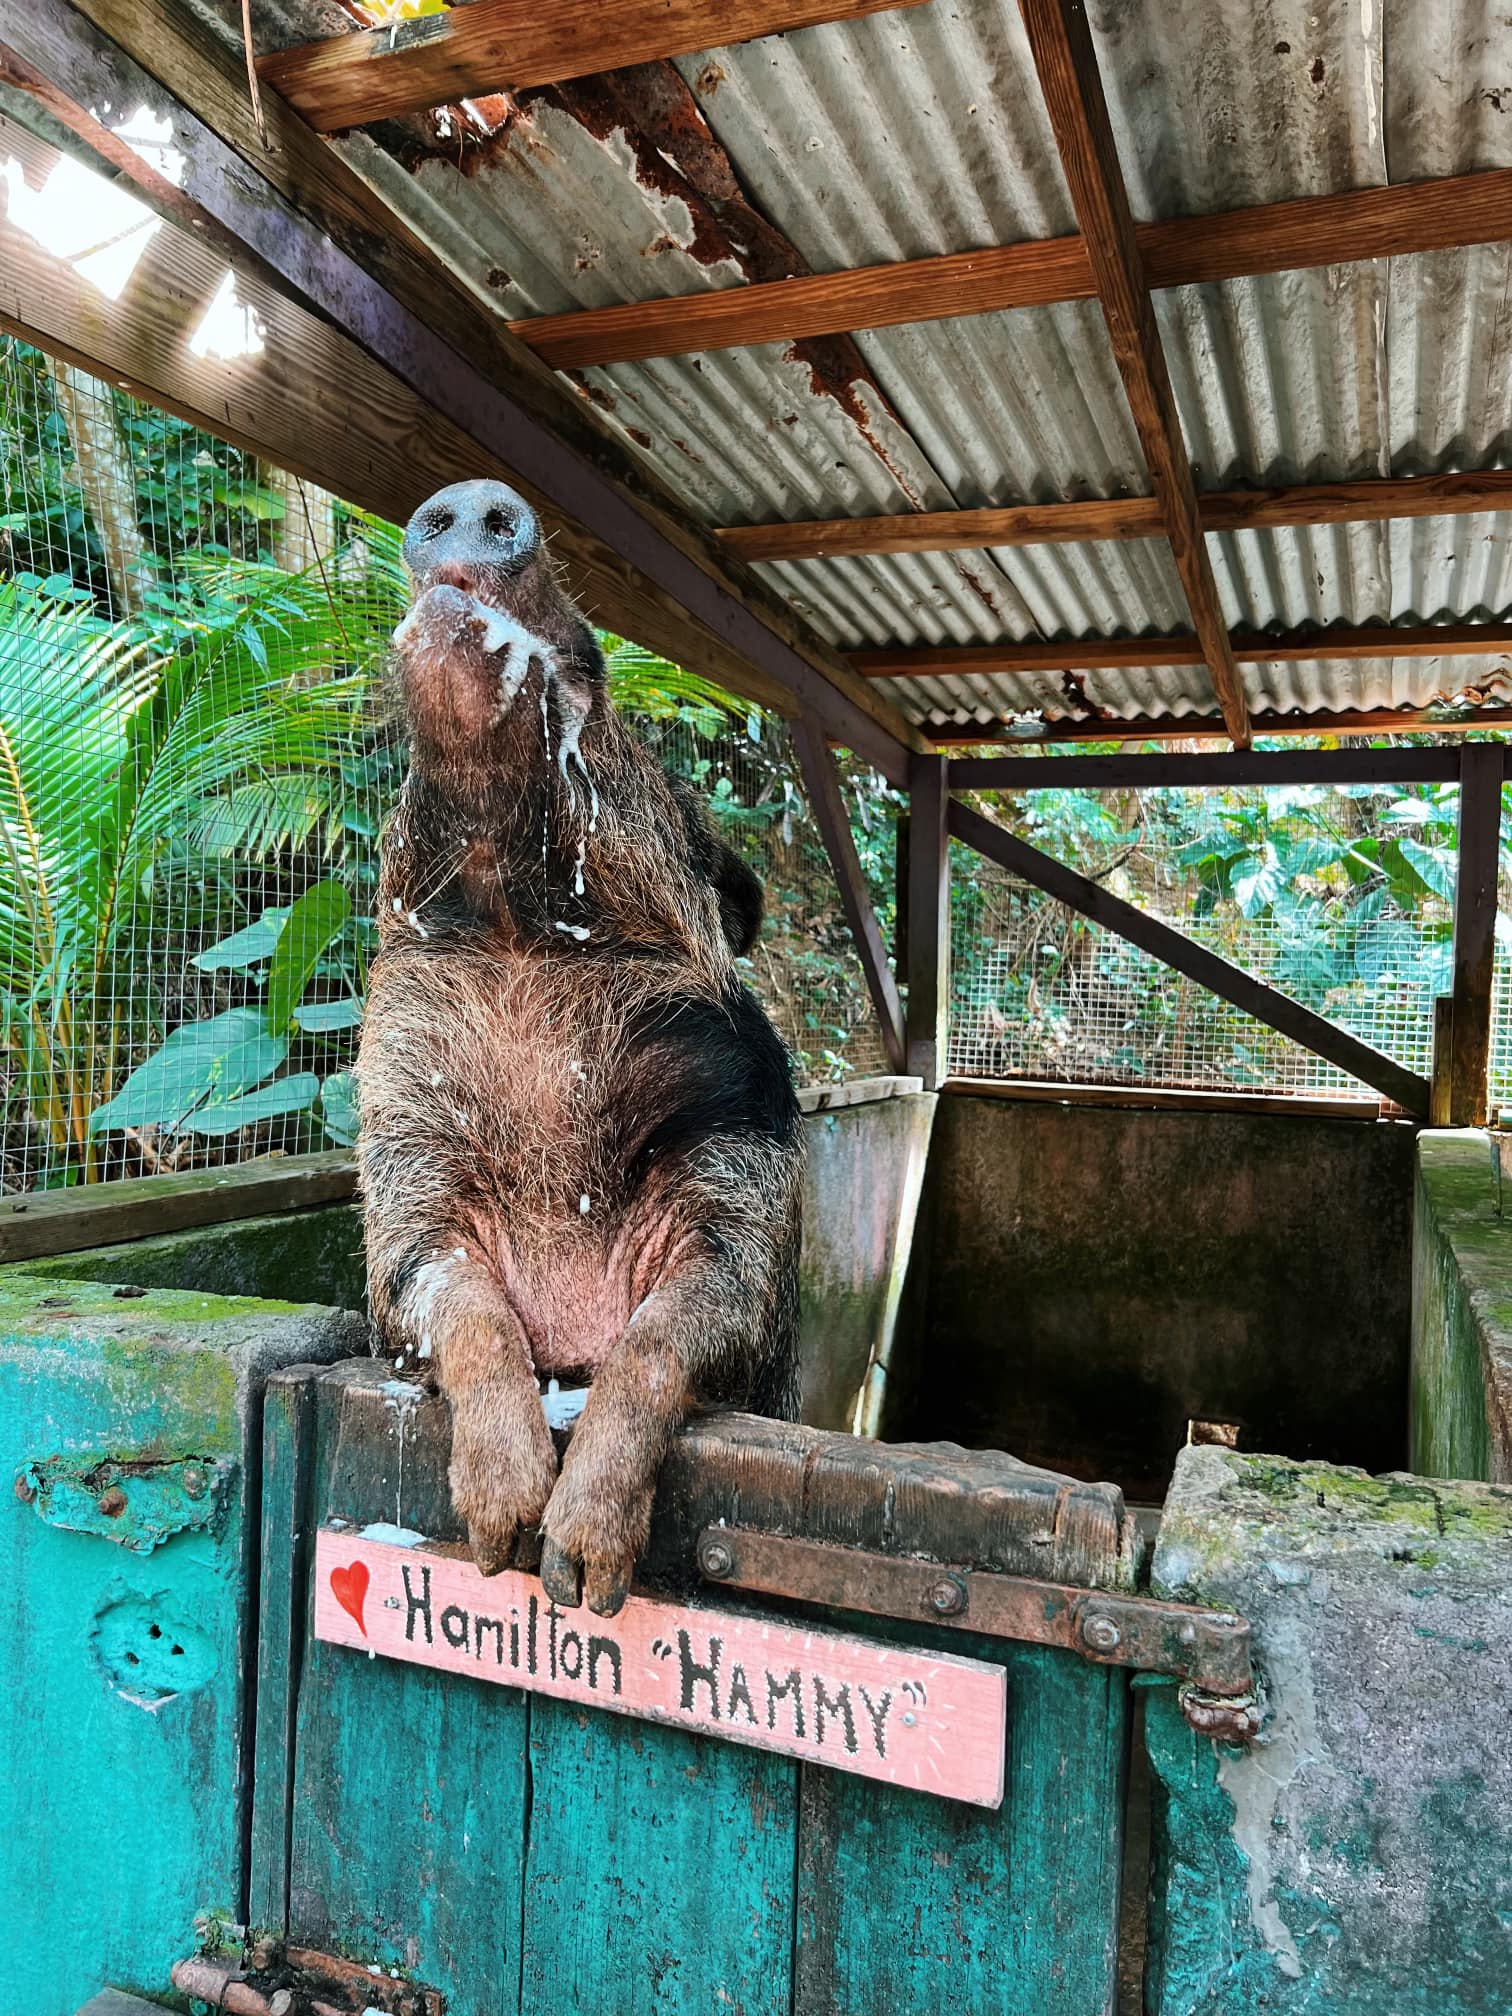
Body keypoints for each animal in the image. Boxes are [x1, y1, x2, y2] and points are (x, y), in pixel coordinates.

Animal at [356, 478, 804, 1616]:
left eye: (594, 659)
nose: (474, 497)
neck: (526, 950)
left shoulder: (741, 1159)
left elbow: (667, 1330)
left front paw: (579, 1578)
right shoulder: (402, 1131)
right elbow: (448, 1295)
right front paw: (497, 1536)